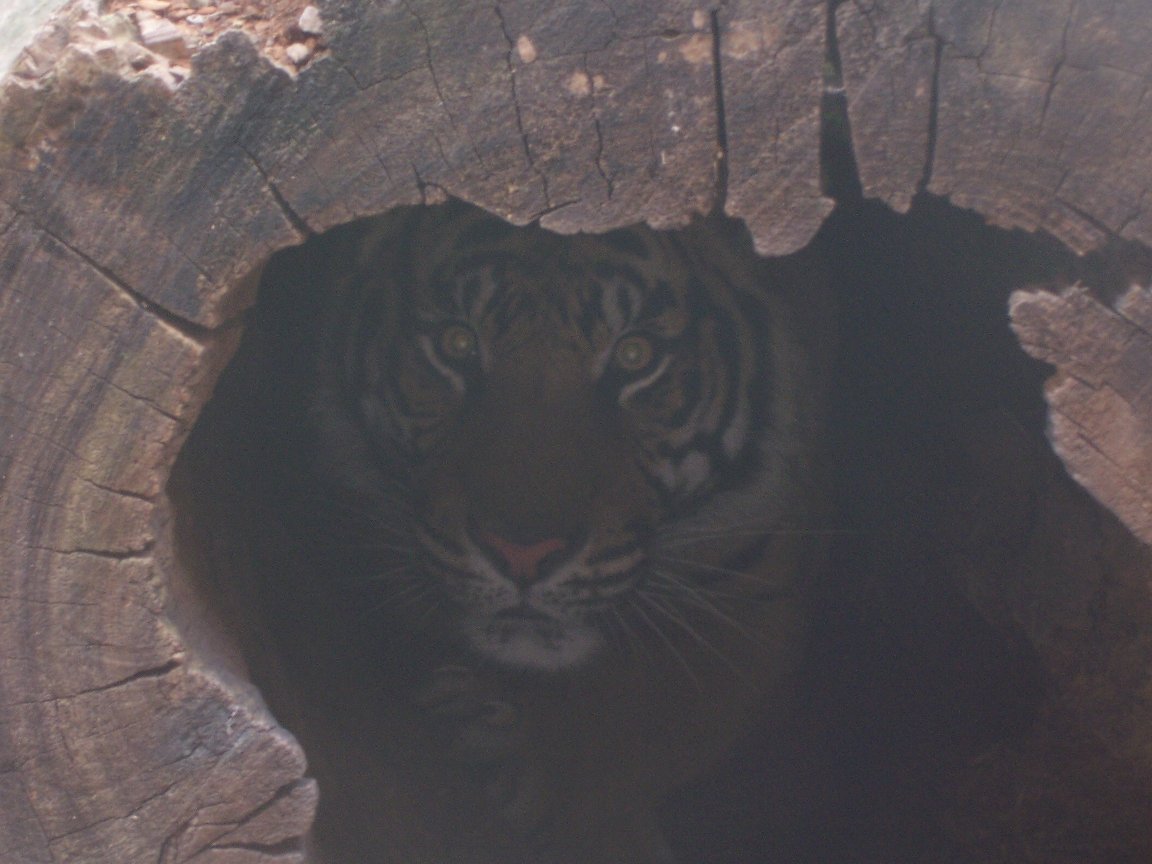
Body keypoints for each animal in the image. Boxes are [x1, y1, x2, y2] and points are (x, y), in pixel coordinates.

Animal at [284, 199, 830, 863]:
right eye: (457, 344)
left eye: (635, 356)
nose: (521, 553)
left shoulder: (760, 605)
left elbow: (639, 721)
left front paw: (507, 747)